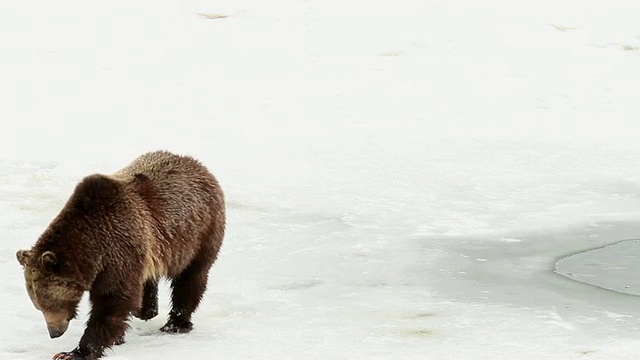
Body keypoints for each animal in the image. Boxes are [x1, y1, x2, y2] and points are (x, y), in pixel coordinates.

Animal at [15, 150, 225, 358]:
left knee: (191, 278)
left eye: (49, 302)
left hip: (199, 233)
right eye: (37, 304)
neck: (92, 250)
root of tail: (197, 165)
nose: (54, 332)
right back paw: (147, 308)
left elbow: (112, 303)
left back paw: (176, 323)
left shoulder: (118, 251)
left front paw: (74, 352)